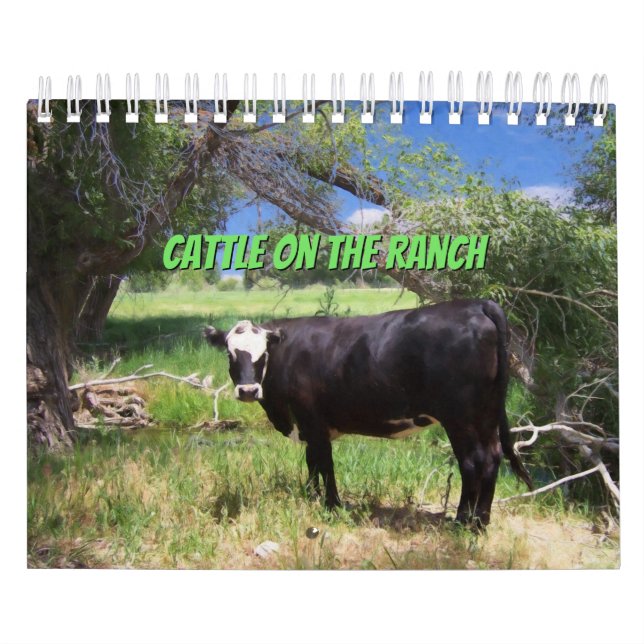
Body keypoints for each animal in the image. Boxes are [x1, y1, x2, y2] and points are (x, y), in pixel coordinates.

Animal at [204, 299, 533, 527]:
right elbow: (312, 462)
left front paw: (332, 505)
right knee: (490, 458)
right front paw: (311, 497)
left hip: (462, 416)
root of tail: (475, 304)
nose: (248, 391)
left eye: (262, 355)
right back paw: (479, 521)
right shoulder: (310, 426)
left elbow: (325, 463)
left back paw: (466, 523)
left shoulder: (313, 420)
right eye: (231, 354)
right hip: (485, 414)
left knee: (473, 462)